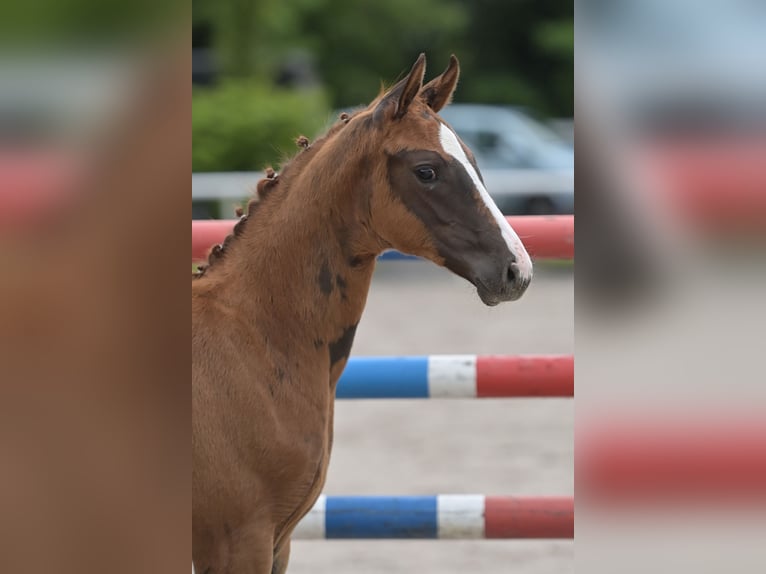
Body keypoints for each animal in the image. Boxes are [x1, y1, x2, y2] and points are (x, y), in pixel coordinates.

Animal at [192, 53, 536, 572]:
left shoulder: (277, 541)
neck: (252, 338)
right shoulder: (240, 540)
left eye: (475, 163)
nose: (518, 270)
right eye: (427, 171)